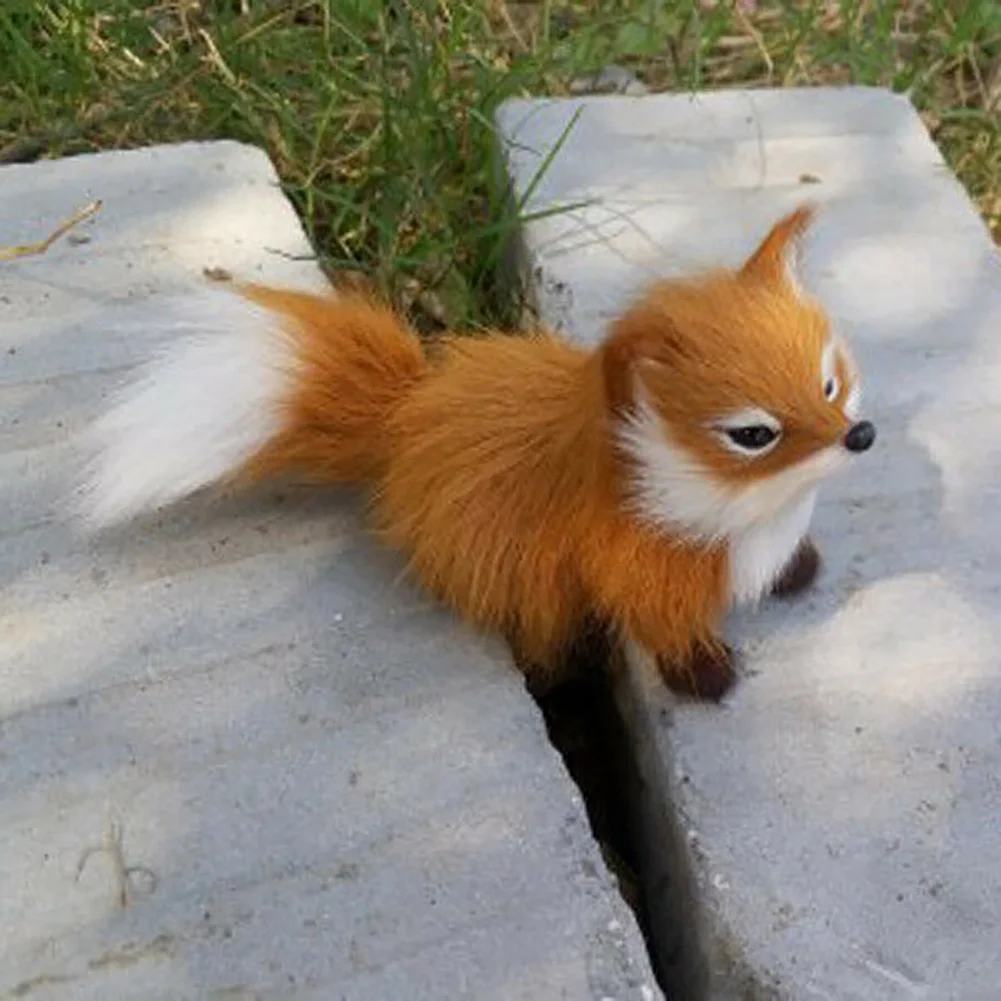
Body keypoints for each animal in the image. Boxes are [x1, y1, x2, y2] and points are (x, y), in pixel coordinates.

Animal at [75, 204, 875, 702]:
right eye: (753, 435)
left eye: (828, 382)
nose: (858, 436)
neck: (744, 509)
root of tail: (404, 413)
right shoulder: (639, 570)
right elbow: (667, 629)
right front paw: (707, 677)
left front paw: (797, 570)